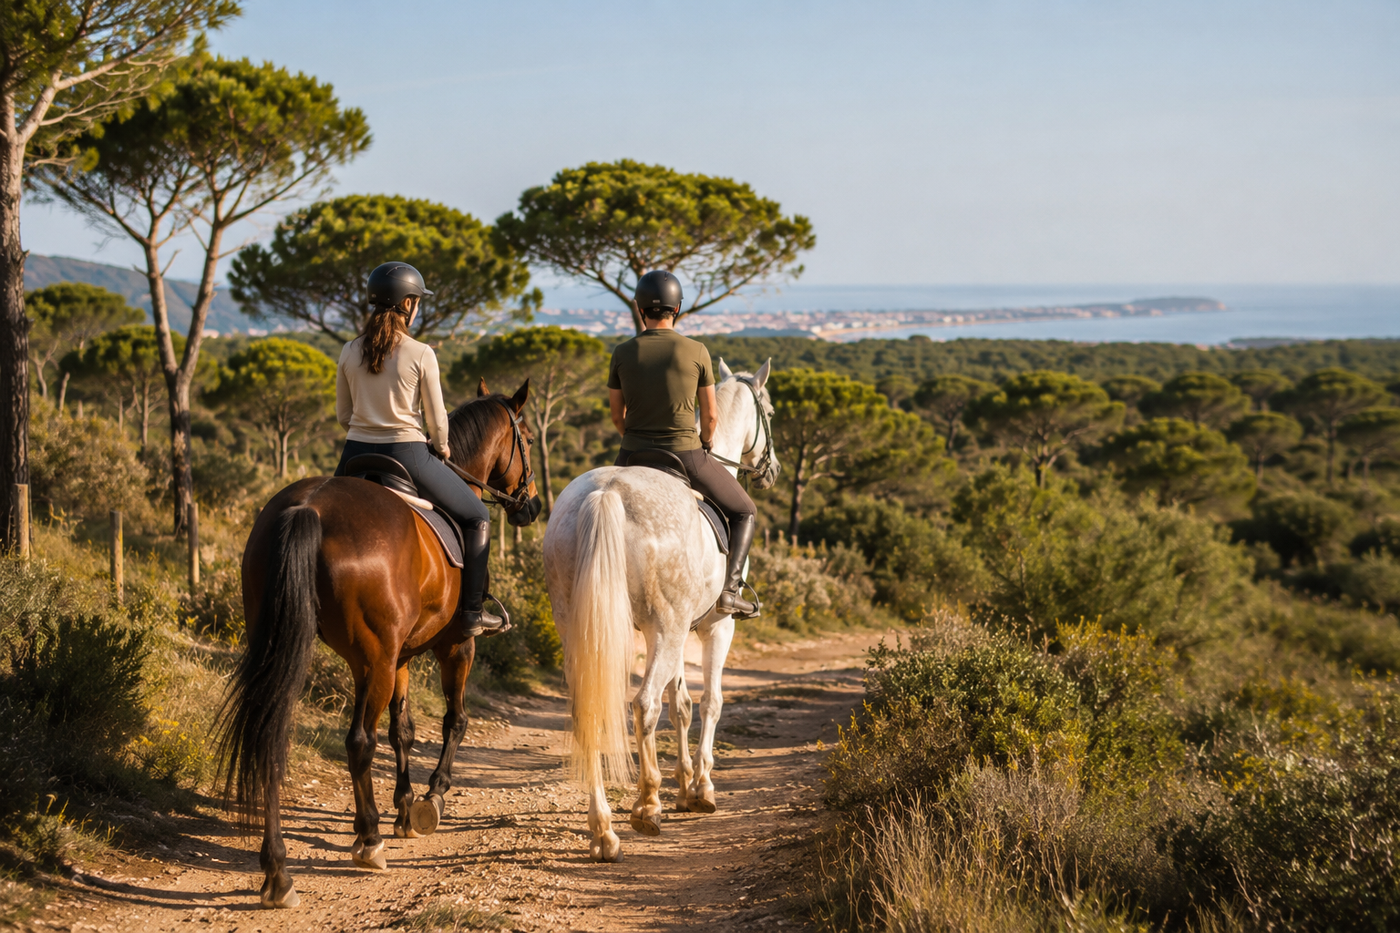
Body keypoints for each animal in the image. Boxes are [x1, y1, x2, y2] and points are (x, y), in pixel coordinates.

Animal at [215, 380, 542, 909]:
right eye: (528, 440)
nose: (531, 507)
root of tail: (309, 506)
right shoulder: (455, 647)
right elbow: (454, 720)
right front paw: (432, 797)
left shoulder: (398, 656)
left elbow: (402, 730)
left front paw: (405, 807)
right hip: (378, 660)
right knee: (358, 743)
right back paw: (367, 841)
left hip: (312, 650)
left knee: (272, 735)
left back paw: (278, 872)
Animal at [543, 359, 779, 861]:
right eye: (768, 411)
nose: (771, 470)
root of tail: (607, 492)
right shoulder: (714, 627)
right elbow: (709, 702)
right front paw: (702, 788)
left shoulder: (674, 629)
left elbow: (682, 704)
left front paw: (685, 788)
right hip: (668, 631)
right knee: (644, 704)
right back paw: (645, 806)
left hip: (590, 627)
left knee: (588, 712)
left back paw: (604, 831)